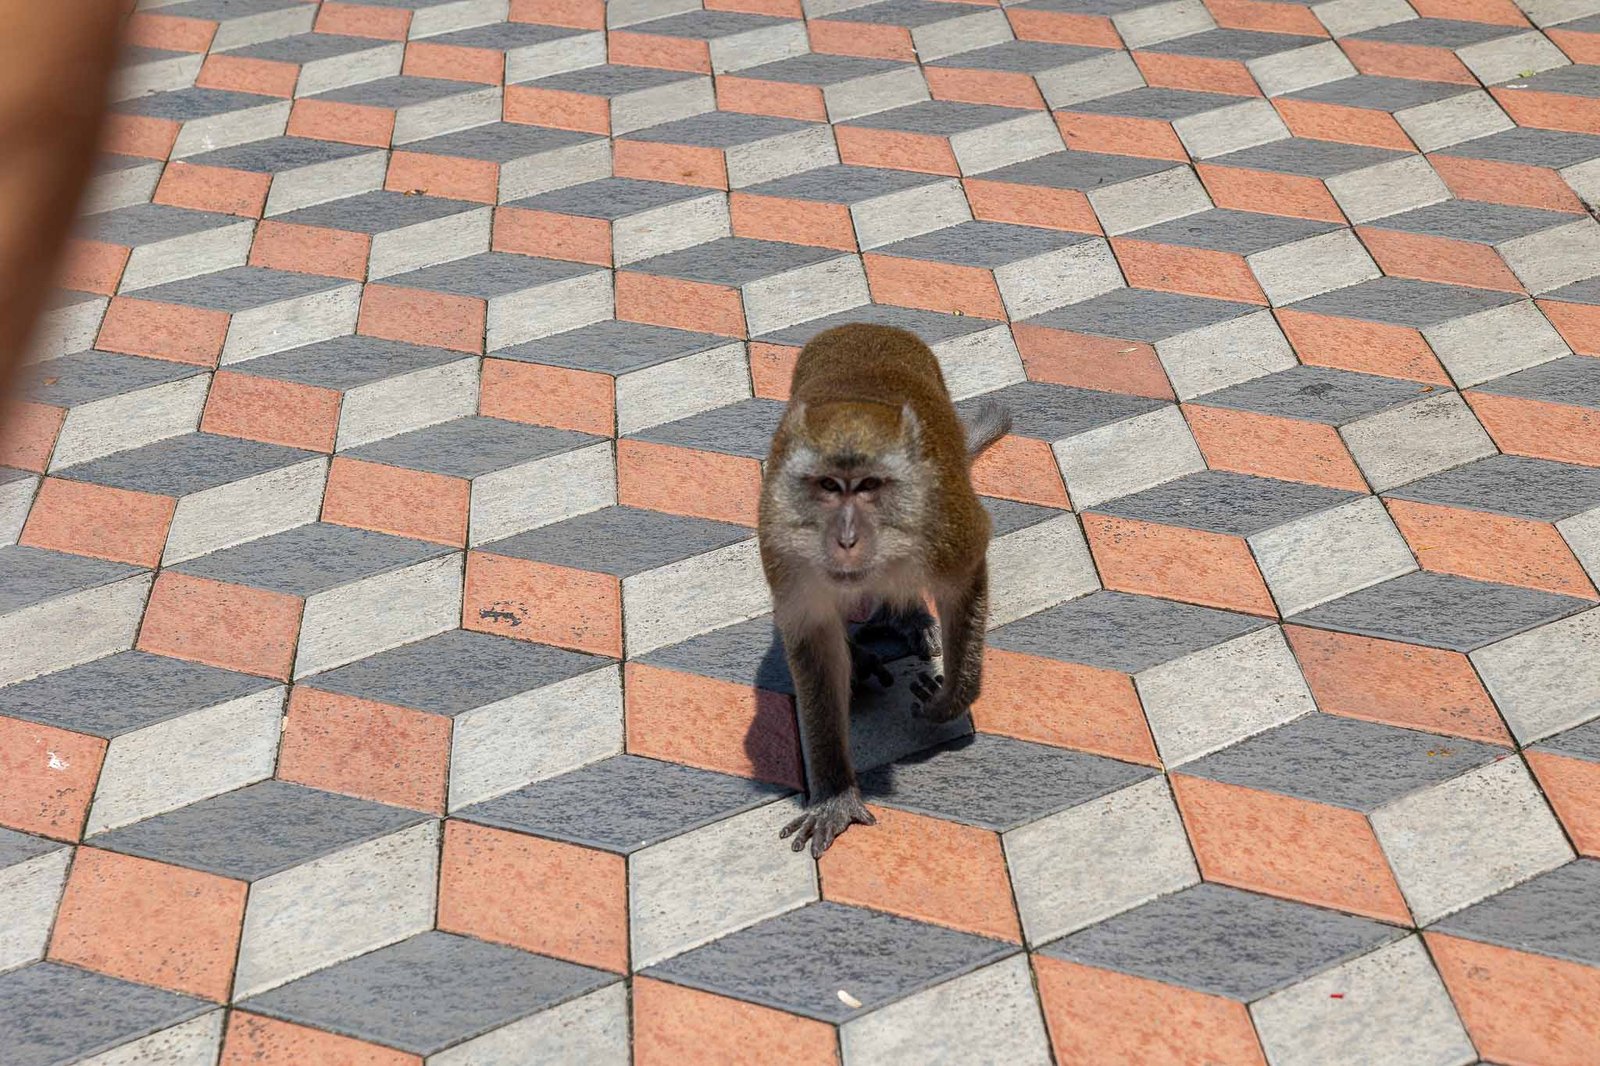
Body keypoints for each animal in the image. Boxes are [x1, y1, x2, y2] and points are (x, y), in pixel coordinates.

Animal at [757, 323, 1010, 857]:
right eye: (827, 487)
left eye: (871, 486)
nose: (847, 537)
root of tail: (863, 327)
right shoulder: (785, 548)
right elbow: (814, 642)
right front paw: (834, 790)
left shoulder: (945, 527)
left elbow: (964, 585)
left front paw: (947, 699)